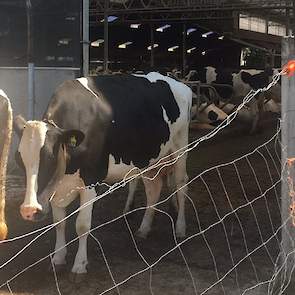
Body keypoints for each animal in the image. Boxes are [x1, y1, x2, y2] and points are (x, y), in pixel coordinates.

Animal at [14, 73, 194, 280]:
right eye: (19, 159)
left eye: (50, 157)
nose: (29, 209)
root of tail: (179, 84)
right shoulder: (58, 187)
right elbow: (59, 223)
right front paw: (58, 258)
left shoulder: (91, 180)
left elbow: (82, 225)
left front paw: (79, 265)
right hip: (151, 160)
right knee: (153, 189)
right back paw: (144, 228)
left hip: (180, 148)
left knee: (181, 185)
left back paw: (180, 228)